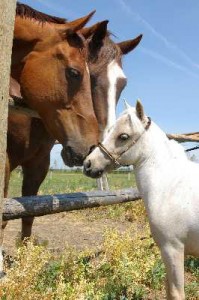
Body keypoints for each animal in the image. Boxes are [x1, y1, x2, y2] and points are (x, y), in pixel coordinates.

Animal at [83, 101, 199, 300]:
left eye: (123, 136)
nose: (88, 164)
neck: (171, 184)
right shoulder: (169, 252)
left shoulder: (173, 249)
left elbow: (176, 293)